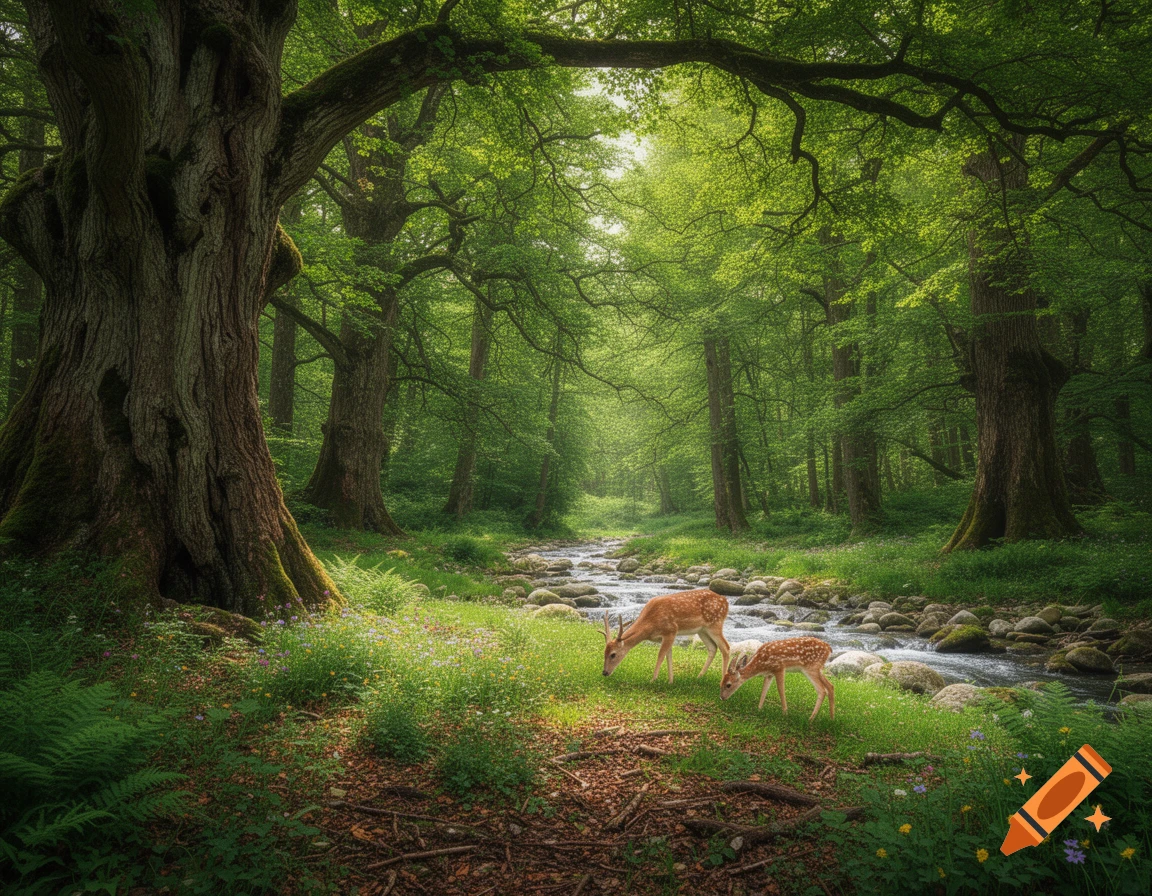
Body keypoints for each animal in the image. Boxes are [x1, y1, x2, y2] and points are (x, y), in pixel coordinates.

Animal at [601, 589, 731, 683]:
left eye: (613, 654)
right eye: (604, 653)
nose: (604, 672)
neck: (650, 625)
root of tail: (725, 601)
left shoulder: (671, 630)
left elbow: (661, 655)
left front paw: (653, 680)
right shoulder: (663, 637)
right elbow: (669, 655)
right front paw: (670, 681)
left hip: (715, 624)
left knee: (726, 647)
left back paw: (722, 681)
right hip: (702, 630)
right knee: (713, 648)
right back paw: (699, 677)